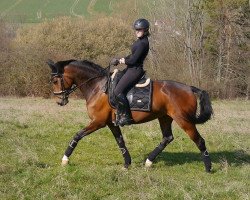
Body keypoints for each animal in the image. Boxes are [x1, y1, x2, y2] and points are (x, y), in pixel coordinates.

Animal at [47, 59, 213, 172]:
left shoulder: (98, 122)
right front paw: (127, 163)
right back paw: (149, 162)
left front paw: (65, 159)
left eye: (55, 80)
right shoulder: (111, 123)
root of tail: (190, 88)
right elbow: (120, 142)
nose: (59, 101)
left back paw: (208, 168)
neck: (98, 87)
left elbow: (77, 136)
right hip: (165, 117)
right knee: (167, 138)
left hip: (183, 120)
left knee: (199, 140)